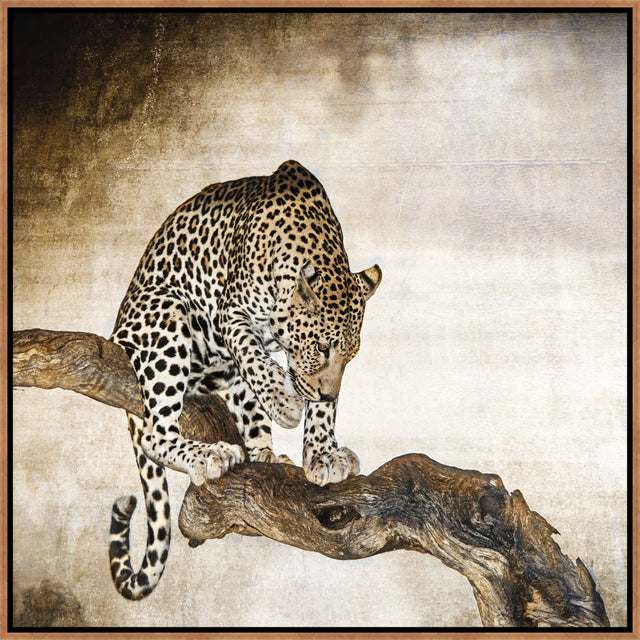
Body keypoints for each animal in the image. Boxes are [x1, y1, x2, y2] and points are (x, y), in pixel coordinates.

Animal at [107, 160, 381, 600]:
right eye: (322, 347)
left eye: (349, 356)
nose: (325, 391)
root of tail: (116, 332)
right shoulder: (231, 311)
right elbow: (250, 348)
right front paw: (286, 405)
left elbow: (321, 410)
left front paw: (322, 456)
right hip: (166, 315)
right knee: (155, 434)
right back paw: (208, 454)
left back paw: (266, 456)